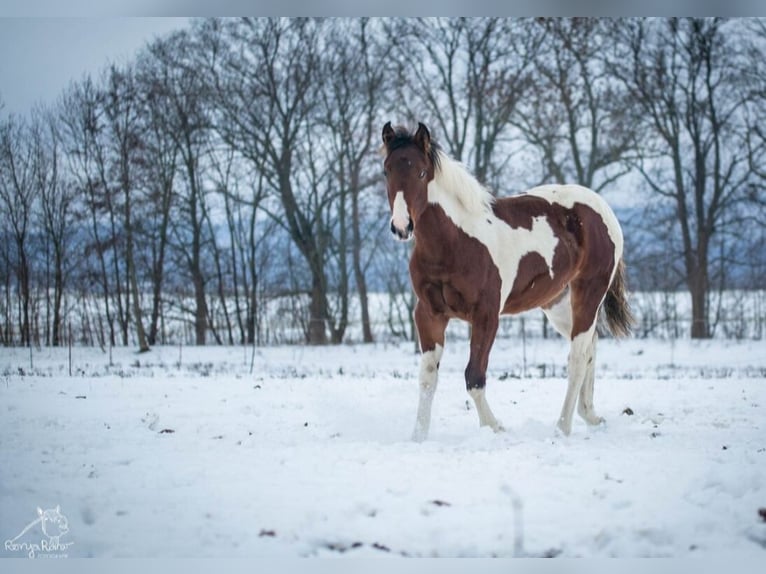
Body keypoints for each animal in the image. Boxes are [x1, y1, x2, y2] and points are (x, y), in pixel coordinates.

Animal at [384, 124, 636, 444]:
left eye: (420, 172)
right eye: (387, 171)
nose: (401, 227)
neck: (454, 242)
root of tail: (603, 209)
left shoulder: (486, 315)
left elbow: (474, 377)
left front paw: (496, 428)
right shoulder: (429, 314)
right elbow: (428, 377)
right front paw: (418, 438)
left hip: (589, 292)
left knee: (578, 356)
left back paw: (562, 428)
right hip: (557, 303)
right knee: (590, 345)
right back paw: (590, 415)